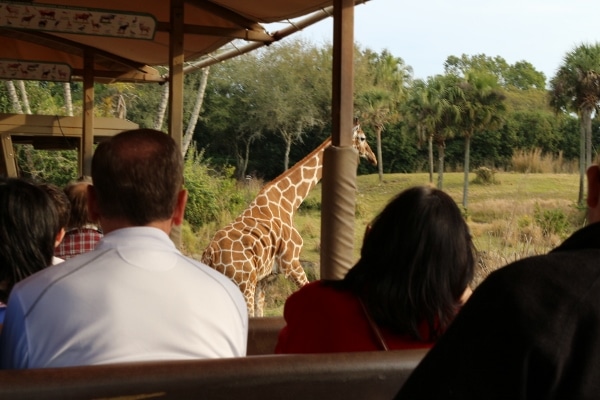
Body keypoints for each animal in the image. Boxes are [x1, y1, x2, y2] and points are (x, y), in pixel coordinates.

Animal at [202, 120, 378, 318]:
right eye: (362, 138)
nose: (373, 157)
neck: (289, 202)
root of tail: (209, 255)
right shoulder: (290, 262)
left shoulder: (265, 276)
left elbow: (260, 312)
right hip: (242, 284)